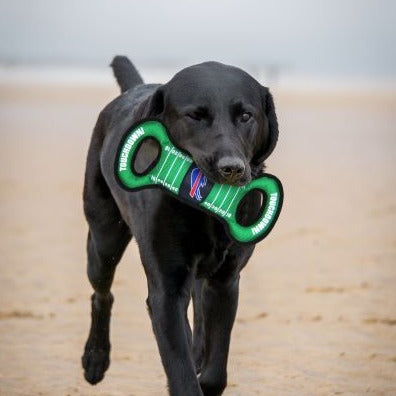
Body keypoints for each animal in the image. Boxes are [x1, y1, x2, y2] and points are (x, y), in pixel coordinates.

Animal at [81, 54, 278, 394]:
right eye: (194, 116)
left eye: (245, 115)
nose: (232, 168)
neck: (205, 211)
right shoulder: (166, 290)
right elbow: (181, 369)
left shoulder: (226, 282)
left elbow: (215, 370)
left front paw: (204, 372)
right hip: (104, 239)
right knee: (101, 294)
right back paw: (95, 358)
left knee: (197, 305)